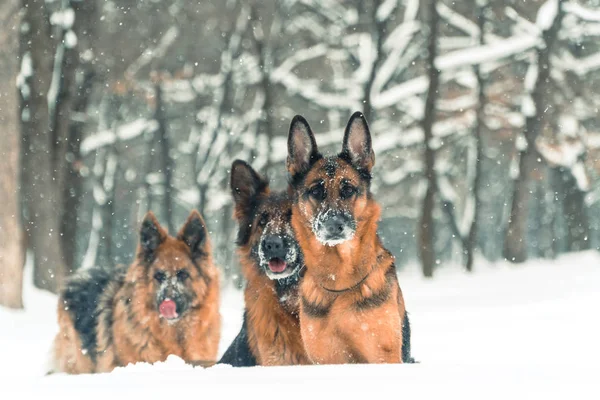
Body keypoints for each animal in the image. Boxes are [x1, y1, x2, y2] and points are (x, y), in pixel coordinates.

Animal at [286, 111, 412, 364]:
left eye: (348, 190)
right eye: (316, 191)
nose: (334, 225)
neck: (340, 284)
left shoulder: (384, 356)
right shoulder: (325, 359)